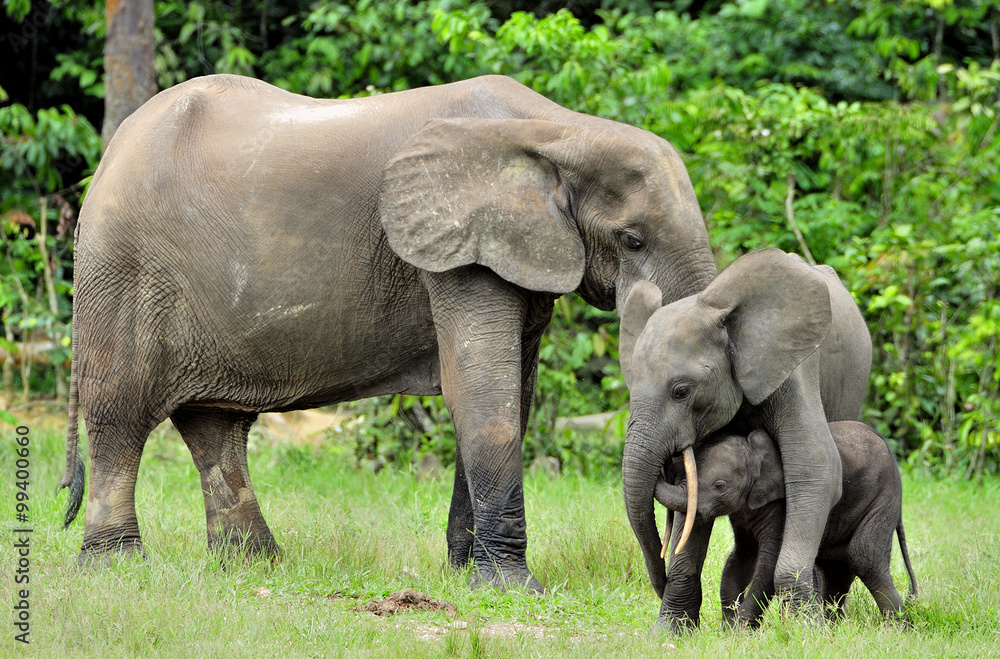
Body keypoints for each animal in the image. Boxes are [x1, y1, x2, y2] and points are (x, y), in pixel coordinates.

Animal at [59, 74, 718, 590]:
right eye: (632, 240)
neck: (561, 131)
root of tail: (111, 152)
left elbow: (513, 395)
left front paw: (465, 574)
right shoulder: (457, 252)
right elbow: (484, 392)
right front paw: (511, 589)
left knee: (215, 426)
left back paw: (254, 566)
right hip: (122, 271)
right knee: (120, 413)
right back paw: (117, 568)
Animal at [618, 248, 873, 628]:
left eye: (682, 391)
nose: (659, 583)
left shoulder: (792, 372)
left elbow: (816, 470)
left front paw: (804, 629)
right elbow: (694, 494)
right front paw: (668, 632)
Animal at [654, 421, 917, 629]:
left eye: (720, 486)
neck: (754, 452)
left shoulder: (783, 505)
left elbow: (769, 563)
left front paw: (741, 631)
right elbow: (741, 559)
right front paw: (728, 630)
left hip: (884, 497)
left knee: (864, 557)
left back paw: (898, 629)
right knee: (837, 567)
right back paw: (832, 628)